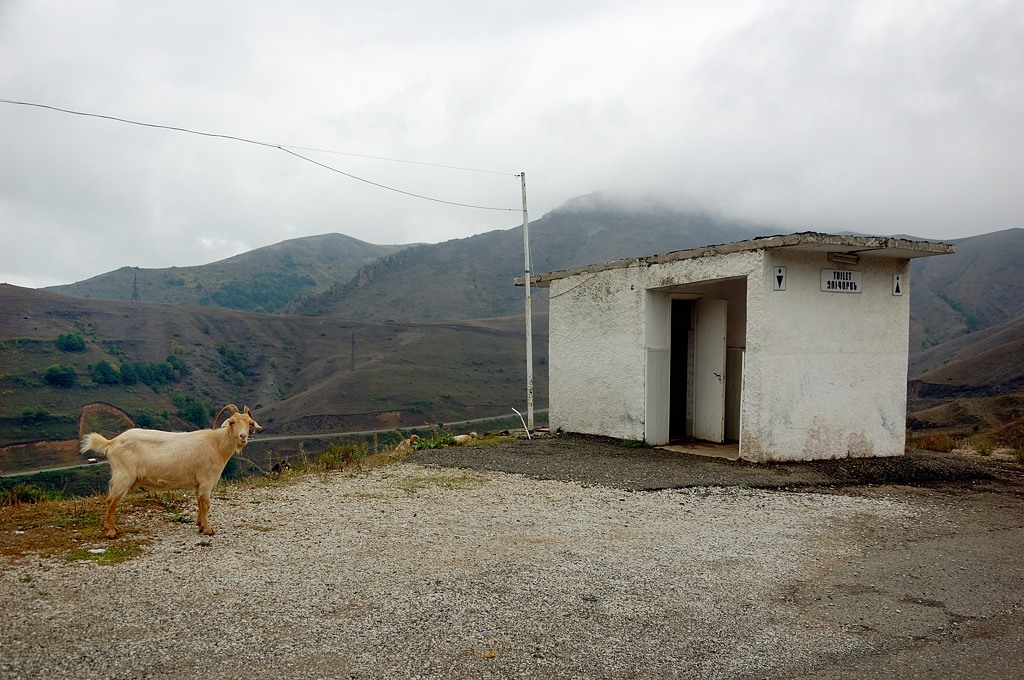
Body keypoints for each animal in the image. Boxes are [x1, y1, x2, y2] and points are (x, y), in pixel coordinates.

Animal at [81, 403, 262, 536]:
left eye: (250, 423)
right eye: (232, 422)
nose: (243, 437)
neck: (216, 444)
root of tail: (111, 442)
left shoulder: (198, 483)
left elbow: (199, 502)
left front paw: (200, 524)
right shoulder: (206, 480)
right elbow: (206, 503)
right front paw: (208, 529)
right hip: (123, 476)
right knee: (111, 501)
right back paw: (111, 531)